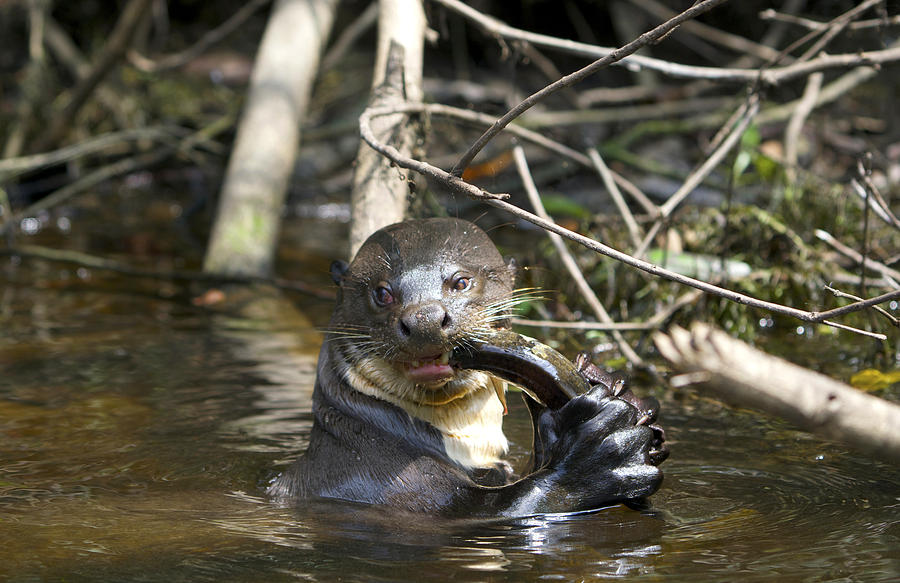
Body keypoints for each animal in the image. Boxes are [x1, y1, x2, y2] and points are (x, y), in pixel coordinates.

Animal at [264, 218, 664, 516]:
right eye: (382, 292)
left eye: (461, 281)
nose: (424, 318)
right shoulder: (374, 480)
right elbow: (502, 509)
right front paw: (602, 450)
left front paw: (614, 387)